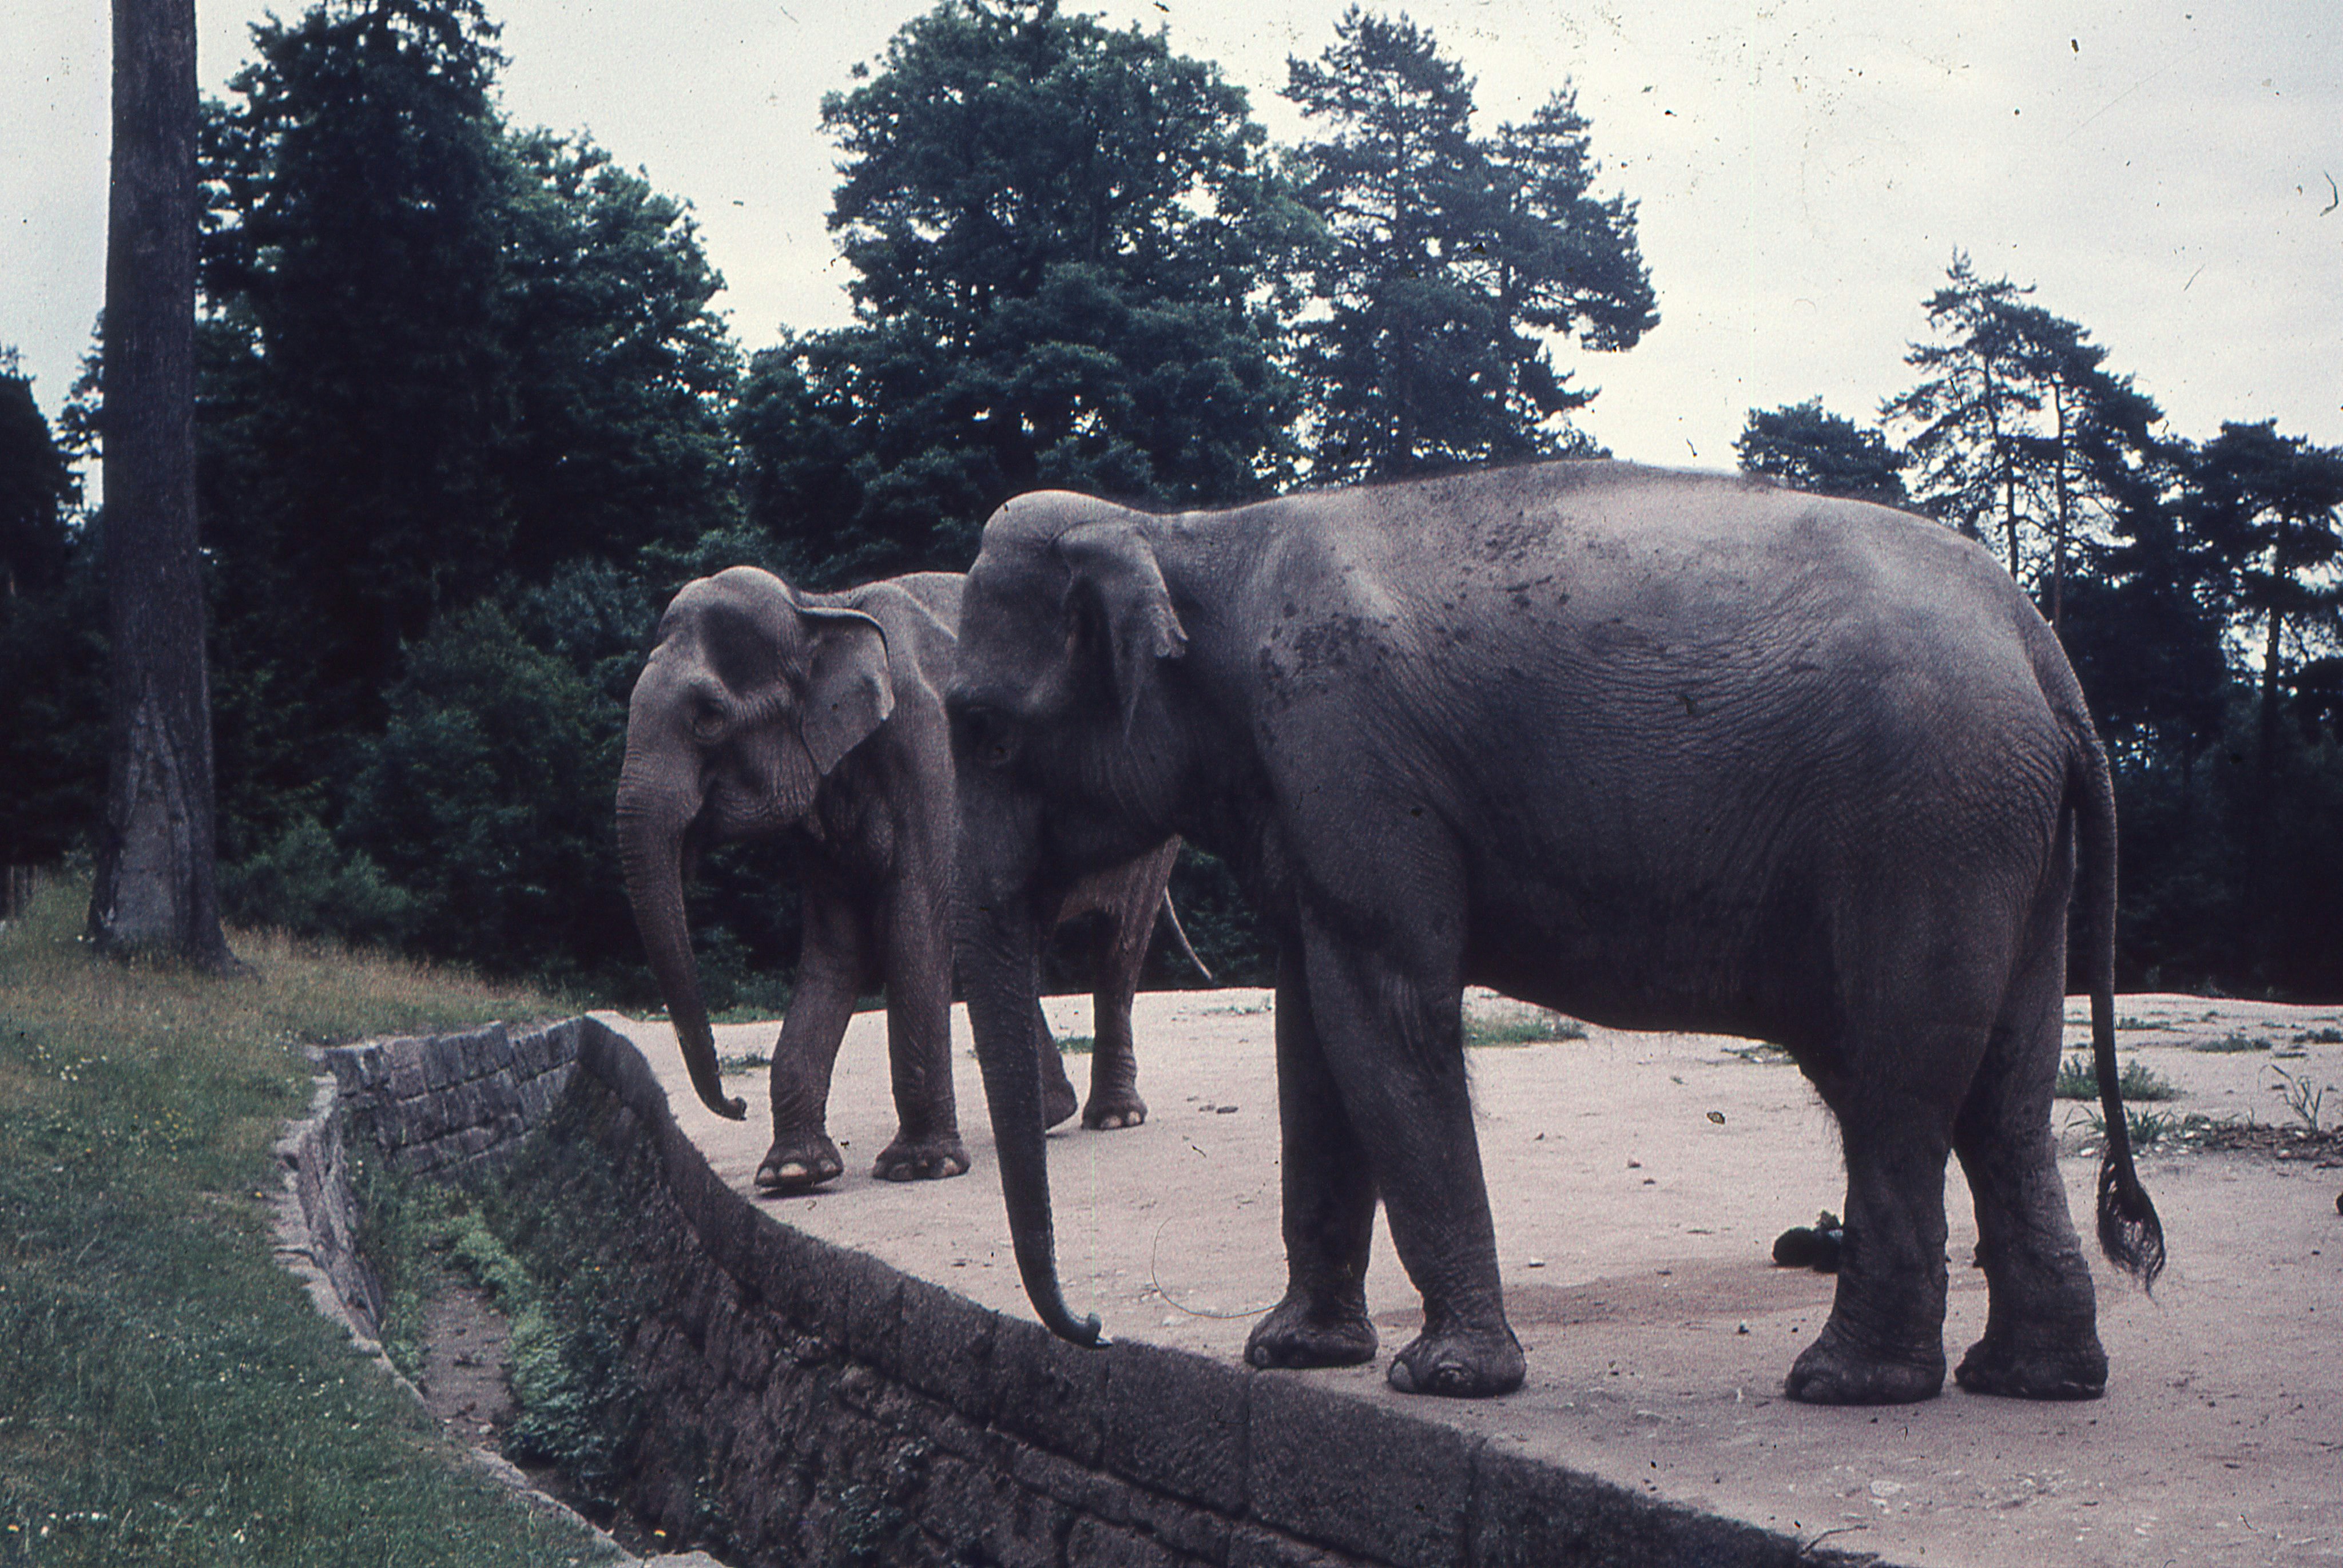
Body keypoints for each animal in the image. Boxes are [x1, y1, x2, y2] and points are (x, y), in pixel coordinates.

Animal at [616, 565, 1203, 1193]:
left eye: (708, 718)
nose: (737, 1105)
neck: (820, 607)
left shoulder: (931, 753)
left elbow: (916, 923)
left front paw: (920, 1168)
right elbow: (836, 949)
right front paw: (792, 1174)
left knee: (1118, 946)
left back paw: (1112, 1116)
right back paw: (1049, 1115)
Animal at [946, 460, 2165, 1403]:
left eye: (981, 729)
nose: (1094, 1328)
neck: (1184, 533)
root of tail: (2043, 653)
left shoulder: (1345, 749)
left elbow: (1386, 1010)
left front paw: (1444, 1379)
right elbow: (1311, 1037)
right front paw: (1293, 1355)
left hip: (1924, 822)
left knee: (1901, 1075)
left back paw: (1847, 1384)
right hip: (2000, 831)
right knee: (1999, 1090)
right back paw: (2033, 1379)